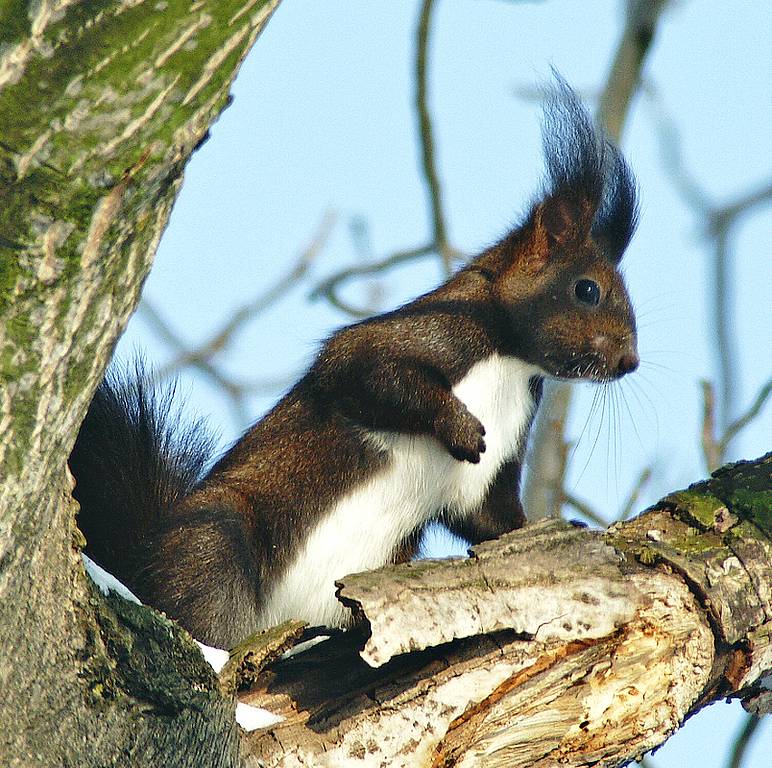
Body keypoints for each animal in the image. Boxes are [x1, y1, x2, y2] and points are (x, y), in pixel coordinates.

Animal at [68, 79, 640, 648]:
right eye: (587, 290)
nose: (630, 361)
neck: (513, 363)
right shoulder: (420, 334)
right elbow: (373, 374)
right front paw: (457, 425)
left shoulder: (490, 467)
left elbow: (488, 514)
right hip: (216, 541)